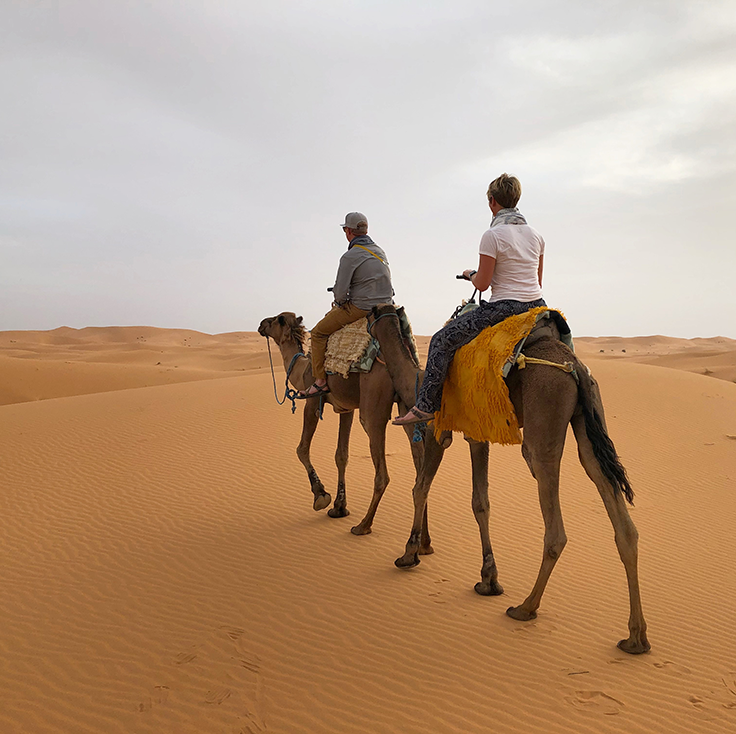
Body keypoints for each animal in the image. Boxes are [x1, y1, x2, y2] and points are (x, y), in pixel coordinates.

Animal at [258, 310, 432, 540]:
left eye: (276, 319)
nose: (261, 324)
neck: (302, 369)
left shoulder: (312, 400)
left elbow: (302, 449)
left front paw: (321, 496)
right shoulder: (346, 409)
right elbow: (341, 455)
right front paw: (339, 507)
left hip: (373, 405)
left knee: (382, 474)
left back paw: (363, 526)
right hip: (407, 409)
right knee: (421, 473)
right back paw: (422, 542)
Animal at [368, 304, 648, 656]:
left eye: (368, 317)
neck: (416, 382)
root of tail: (576, 368)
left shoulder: (436, 430)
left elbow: (420, 488)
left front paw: (409, 554)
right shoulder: (477, 434)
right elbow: (480, 503)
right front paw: (488, 579)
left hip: (544, 416)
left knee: (555, 526)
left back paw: (526, 607)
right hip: (589, 423)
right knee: (620, 517)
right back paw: (635, 637)